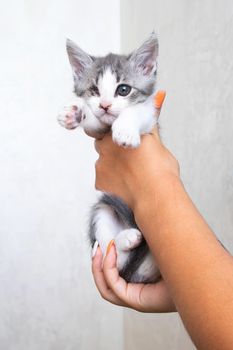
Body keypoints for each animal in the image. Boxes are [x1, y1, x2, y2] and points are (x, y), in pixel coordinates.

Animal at [57, 34, 160, 284]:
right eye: (94, 90)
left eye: (123, 89)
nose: (105, 105)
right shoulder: (99, 129)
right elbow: (94, 121)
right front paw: (76, 114)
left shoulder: (151, 119)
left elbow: (138, 111)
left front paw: (125, 130)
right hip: (102, 211)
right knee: (111, 256)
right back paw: (126, 240)